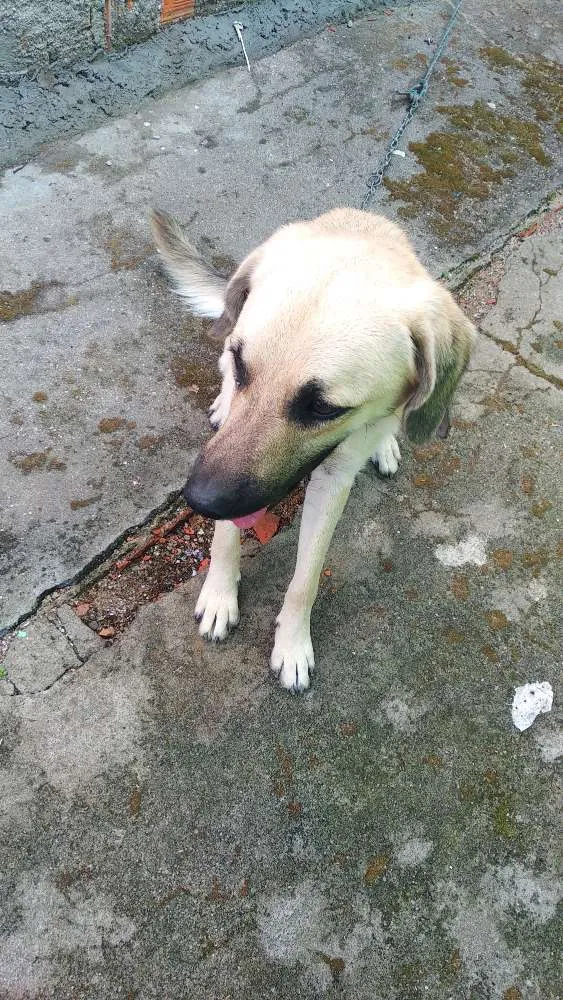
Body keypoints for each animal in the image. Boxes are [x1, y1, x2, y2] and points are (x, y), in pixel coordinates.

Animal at [151, 209, 476, 696]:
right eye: (241, 363)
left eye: (323, 408)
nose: (201, 501)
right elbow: (227, 536)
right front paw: (220, 593)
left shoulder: (333, 479)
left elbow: (306, 576)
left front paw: (292, 643)